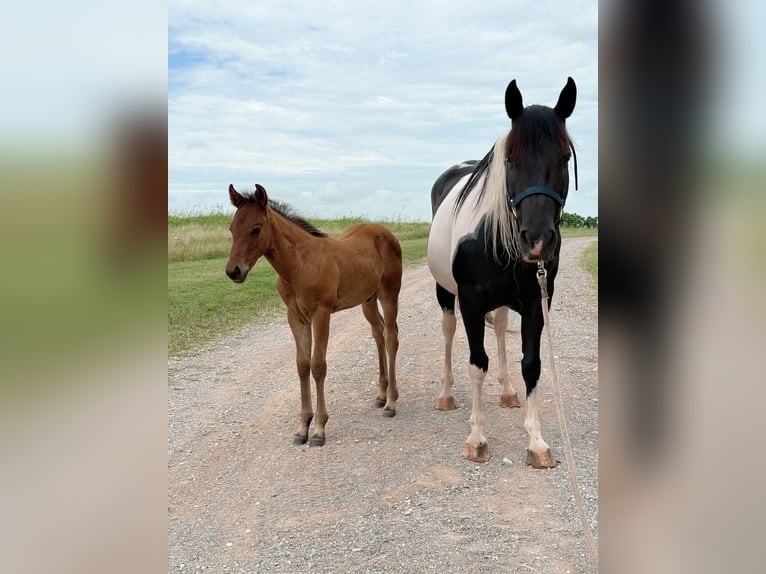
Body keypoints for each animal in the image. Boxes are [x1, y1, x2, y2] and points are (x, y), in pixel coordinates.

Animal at [225, 184, 403, 446]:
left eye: (256, 229)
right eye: (232, 228)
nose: (233, 271)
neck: (300, 265)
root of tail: (385, 232)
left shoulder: (321, 314)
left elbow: (318, 365)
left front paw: (319, 429)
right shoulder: (295, 317)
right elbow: (302, 365)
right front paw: (302, 428)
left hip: (389, 293)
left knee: (391, 338)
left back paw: (391, 402)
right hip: (367, 300)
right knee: (378, 334)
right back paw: (381, 395)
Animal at [426, 77, 577, 468]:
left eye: (564, 158)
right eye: (510, 160)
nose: (537, 241)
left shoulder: (538, 303)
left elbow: (532, 365)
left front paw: (536, 442)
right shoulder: (470, 301)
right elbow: (477, 364)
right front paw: (476, 439)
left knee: (500, 333)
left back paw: (508, 391)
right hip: (446, 294)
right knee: (448, 333)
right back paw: (446, 395)